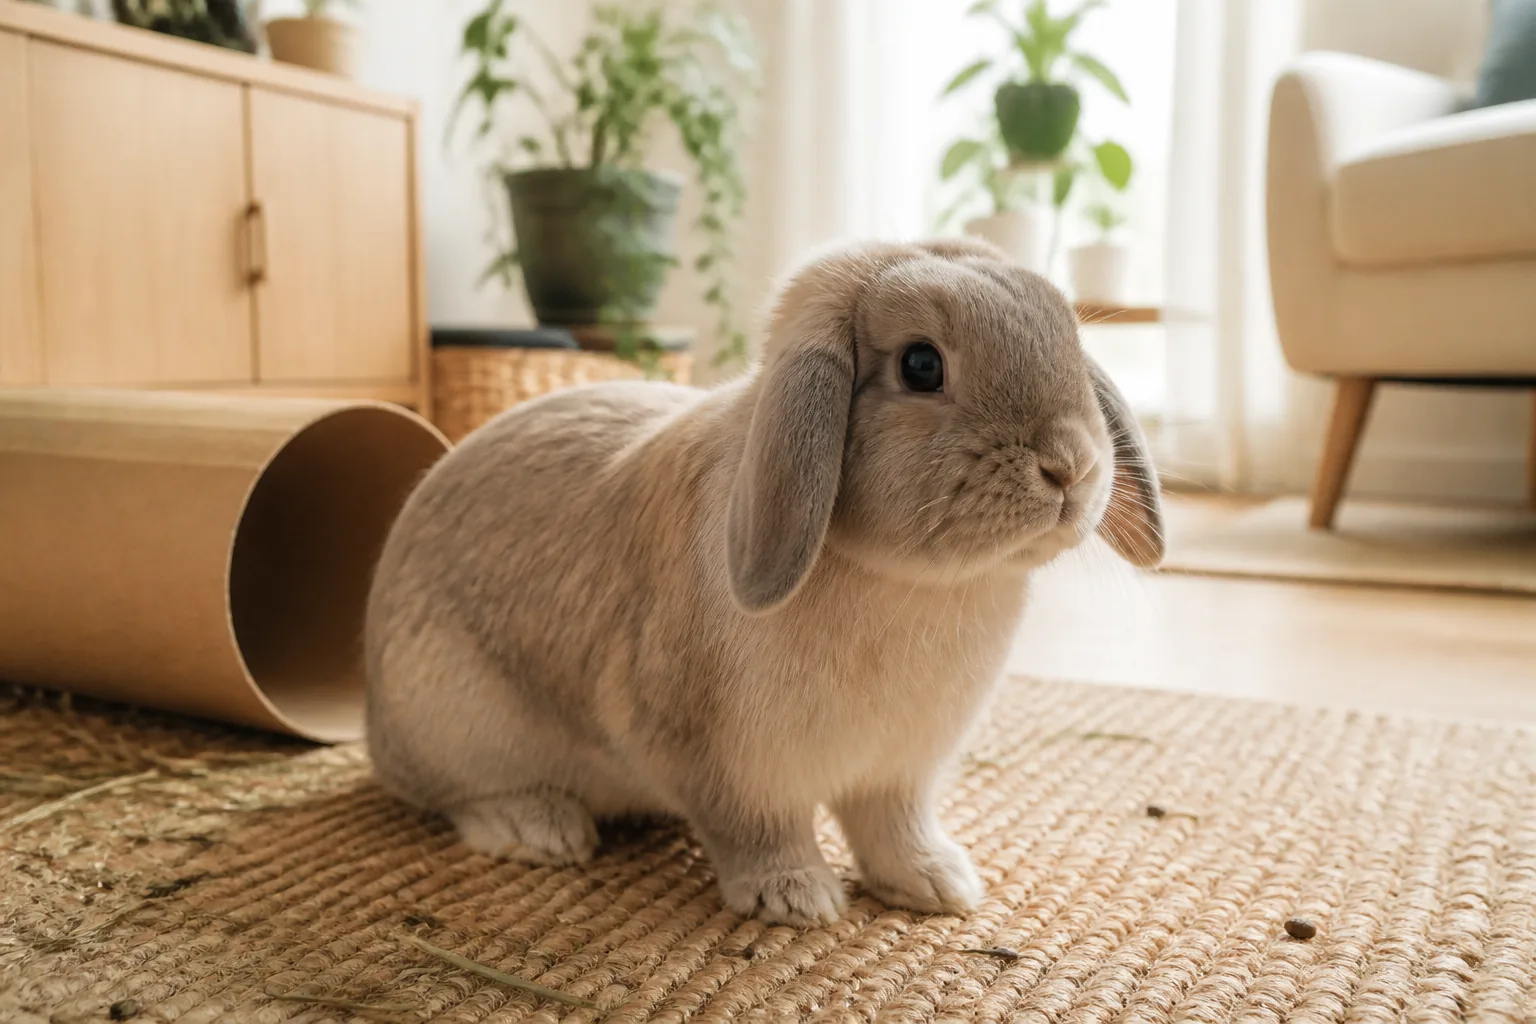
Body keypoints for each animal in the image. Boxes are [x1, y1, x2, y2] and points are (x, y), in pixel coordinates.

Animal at [363, 237, 1164, 927]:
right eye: (921, 366)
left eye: (1070, 341)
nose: (1071, 467)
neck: (908, 582)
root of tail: (374, 719)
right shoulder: (724, 764)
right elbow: (756, 830)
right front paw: (796, 897)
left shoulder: (900, 772)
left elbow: (893, 829)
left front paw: (940, 883)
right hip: (456, 715)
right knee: (454, 794)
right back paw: (538, 828)